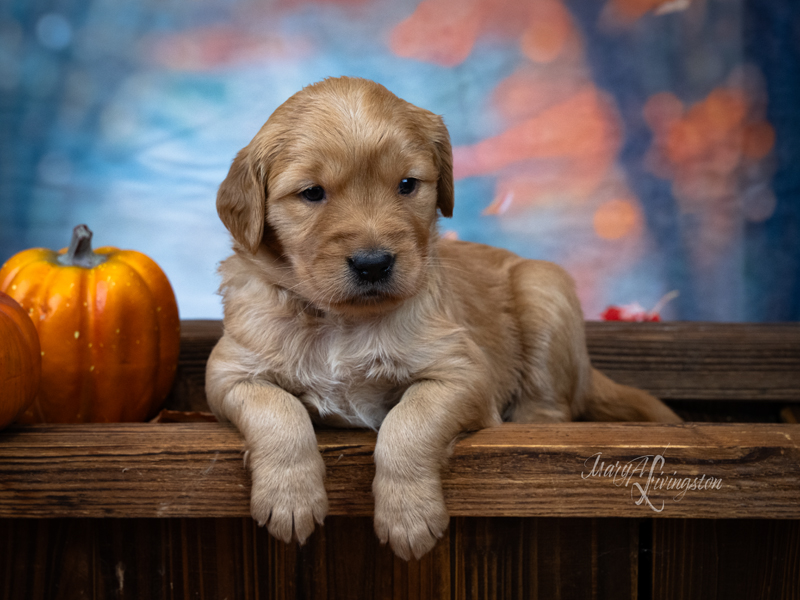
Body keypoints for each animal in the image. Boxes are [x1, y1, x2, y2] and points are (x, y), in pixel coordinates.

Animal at [205, 77, 676, 560]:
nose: (373, 264)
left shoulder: (462, 373)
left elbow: (409, 422)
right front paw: (290, 498)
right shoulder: (230, 373)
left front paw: (408, 517)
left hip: (544, 289)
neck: (343, 322)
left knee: (551, 406)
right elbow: (277, 411)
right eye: (312, 193)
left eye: (407, 184)